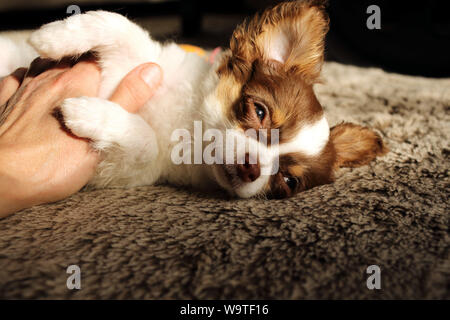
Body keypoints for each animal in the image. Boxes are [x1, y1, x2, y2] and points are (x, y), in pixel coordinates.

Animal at [0, 1, 386, 199]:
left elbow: (145, 142)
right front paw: (49, 36)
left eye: (288, 182)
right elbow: (119, 23)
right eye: (259, 111)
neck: (184, 128)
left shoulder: (127, 171)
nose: (252, 168)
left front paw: (88, 113)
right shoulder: (147, 60)